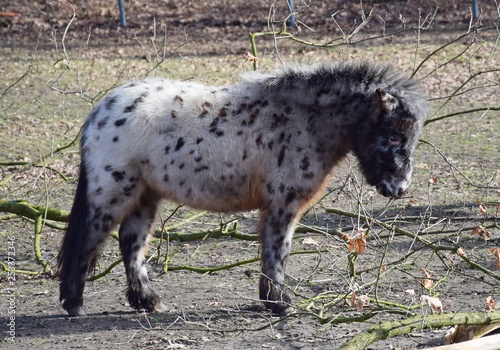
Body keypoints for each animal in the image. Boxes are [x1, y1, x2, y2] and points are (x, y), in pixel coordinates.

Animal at [57, 60, 426, 318]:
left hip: (145, 196)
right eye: (393, 135)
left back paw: (148, 302)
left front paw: (271, 300)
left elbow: (269, 250)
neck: (304, 122)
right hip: (114, 193)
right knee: (90, 238)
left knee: (131, 244)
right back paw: (74, 303)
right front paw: (281, 304)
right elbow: (279, 249)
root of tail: (98, 113)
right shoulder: (283, 204)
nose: (400, 188)